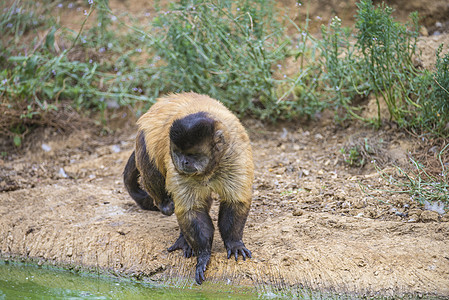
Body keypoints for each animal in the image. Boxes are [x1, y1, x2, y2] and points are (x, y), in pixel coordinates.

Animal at [124, 92, 254, 284]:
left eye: (193, 155)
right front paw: (203, 255)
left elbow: (235, 201)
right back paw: (165, 206)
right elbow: (191, 210)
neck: (210, 169)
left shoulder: (235, 156)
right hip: (143, 138)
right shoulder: (176, 167)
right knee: (151, 166)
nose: (183, 162)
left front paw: (234, 242)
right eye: (179, 153)